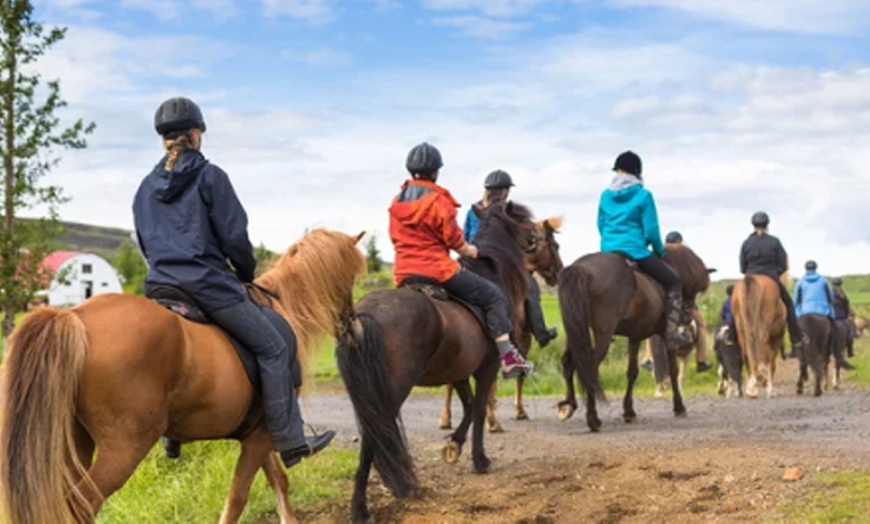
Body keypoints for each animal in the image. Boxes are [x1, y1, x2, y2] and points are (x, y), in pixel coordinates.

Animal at [0, 229, 368, 524]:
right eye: (350, 278)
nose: (355, 331)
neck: (282, 309)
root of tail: (75, 317)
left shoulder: (257, 434)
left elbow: (278, 481)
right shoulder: (262, 434)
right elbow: (237, 499)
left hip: (71, 444)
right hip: (123, 447)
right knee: (81, 507)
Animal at [440, 215, 568, 432]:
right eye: (555, 245)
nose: (559, 272)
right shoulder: (521, 338)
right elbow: (516, 375)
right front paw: (513, 413)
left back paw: (446, 418)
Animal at [560, 244, 708, 432]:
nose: (689, 316)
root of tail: (580, 268)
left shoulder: (635, 336)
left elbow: (632, 372)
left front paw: (629, 411)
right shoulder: (667, 336)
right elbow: (673, 370)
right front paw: (679, 407)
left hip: (576, 329)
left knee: (569, 363)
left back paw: (568, 406)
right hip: (602, 335)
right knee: (589, 369)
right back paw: (592, 419)